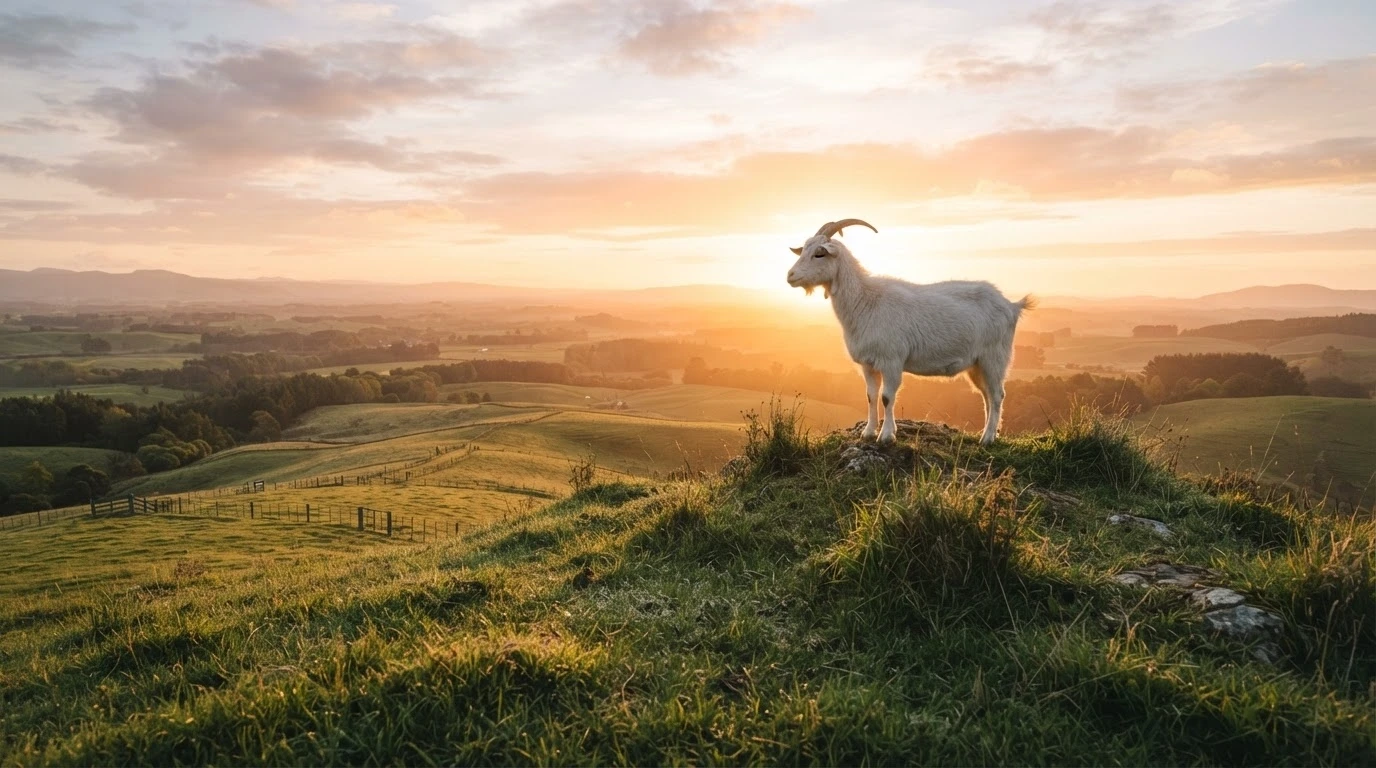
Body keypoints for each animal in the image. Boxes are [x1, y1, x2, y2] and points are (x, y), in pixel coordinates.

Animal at [786, 219, 1034, 445]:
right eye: (804, 249)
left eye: (819, 254)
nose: (790, 276)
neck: (866, 301)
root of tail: (1012, 306)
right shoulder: (868, 364)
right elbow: (871, 396)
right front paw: (868, 433)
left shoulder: (892, 360)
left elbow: (887, 397)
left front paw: (886, 436)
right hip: (976, 365)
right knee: (986, 395)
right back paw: (988, 433)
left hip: (994, 356)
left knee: (997, 394)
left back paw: (988, 438)